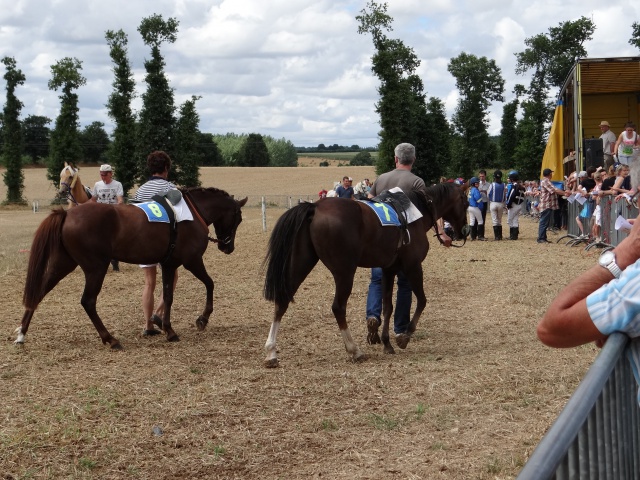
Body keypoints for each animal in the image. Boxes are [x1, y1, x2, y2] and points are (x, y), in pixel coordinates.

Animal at [13, 188, 248, 348]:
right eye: (238, 218)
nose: (228, 247)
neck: (192, 212)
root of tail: (68, 214)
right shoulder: (192, 261)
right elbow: (209, 284)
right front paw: (201, 319)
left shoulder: (168, 264)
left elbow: (168, 295)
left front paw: (166, 327)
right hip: (96, 268)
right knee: (88, 301)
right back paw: (109, 338)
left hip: (63, 265)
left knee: (39, 292)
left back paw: (22, 333)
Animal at [262, 182, 470, 366]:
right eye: (466, 202)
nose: (465, 231)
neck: (417, 212)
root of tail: (314, 207)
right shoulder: (413, 266)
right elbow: (421, 301)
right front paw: (404, 337)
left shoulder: (388, 269)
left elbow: (387, 307)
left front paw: (386, 343)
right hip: (344, 271)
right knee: (338, 307)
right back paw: (354, 350)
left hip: (301, 263)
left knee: (282, 301)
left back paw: (271, 352)